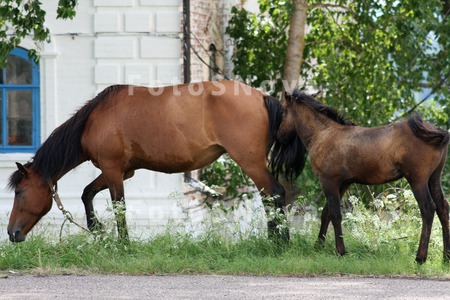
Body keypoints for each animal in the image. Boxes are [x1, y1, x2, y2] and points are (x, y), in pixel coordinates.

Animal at [7, 81, 306, 243]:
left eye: (19, 192)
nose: (11, 232)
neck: (95, 118)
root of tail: (262, 97)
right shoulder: (122, 171)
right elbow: (86, 193)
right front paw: (97, 229)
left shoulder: (113, 170)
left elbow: (119, 208)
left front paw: (123, 245)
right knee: (270, 198)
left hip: (250, 162)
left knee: (274, 194)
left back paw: (278, 242)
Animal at [274, 90, 450, 264]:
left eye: (283, 112)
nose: (278, 136)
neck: (324, 134)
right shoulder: (343, 183)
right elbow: (327, 213)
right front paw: (318, 246)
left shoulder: (328, 181)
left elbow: (335, 214)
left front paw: (340, 251)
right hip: (434, 179)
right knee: (443, 208)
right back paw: (446, 257)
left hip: (417, 180)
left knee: (428, 208)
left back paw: (420, 257)